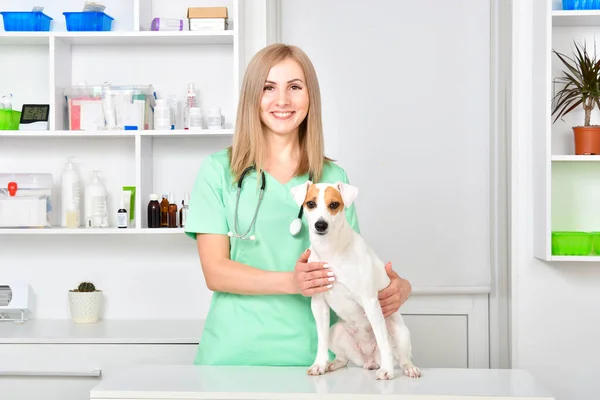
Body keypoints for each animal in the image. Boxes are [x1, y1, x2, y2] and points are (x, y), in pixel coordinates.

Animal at [290, 181, 422, 382]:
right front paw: (319, 364)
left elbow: (383, 342)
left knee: (401, 356)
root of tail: (368, 359)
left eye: (334, 204)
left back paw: (408, 368)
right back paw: (332, 364)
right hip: (335, 332)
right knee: (343, 358)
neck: (331, 250)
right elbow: (321, 340)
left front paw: (387, 371)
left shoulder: (370, 302)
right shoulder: (319, 304)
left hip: (400, 333)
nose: (320, 225)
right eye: (310, 203)